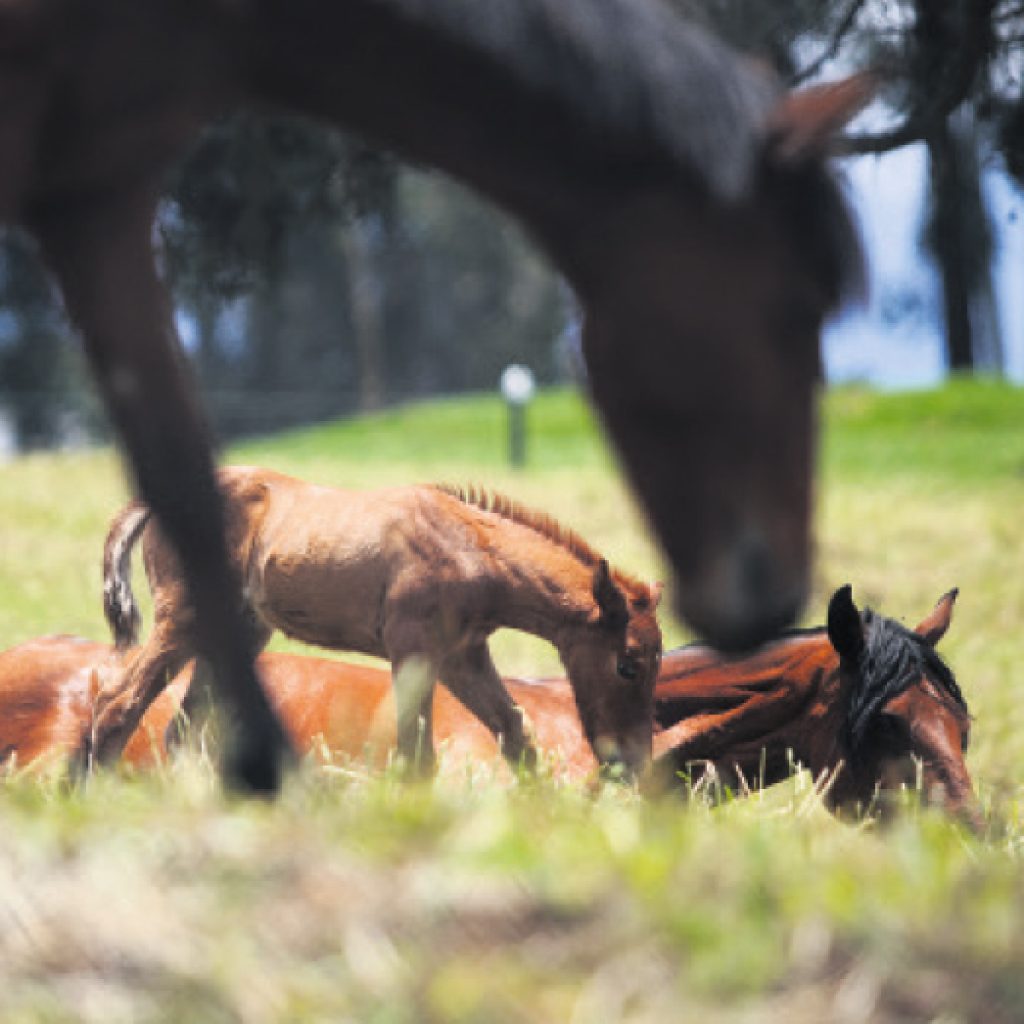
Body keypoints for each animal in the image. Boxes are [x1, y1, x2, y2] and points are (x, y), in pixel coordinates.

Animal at [96, 467, 662, 778]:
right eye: (628, 665)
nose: (632, 761)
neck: (469, 548)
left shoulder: (462, 657)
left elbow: (514, 731)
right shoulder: (413, 651)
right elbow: (417, 755)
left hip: (235, 635)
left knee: (180, 731)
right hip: (182, 620)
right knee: (118, 703)